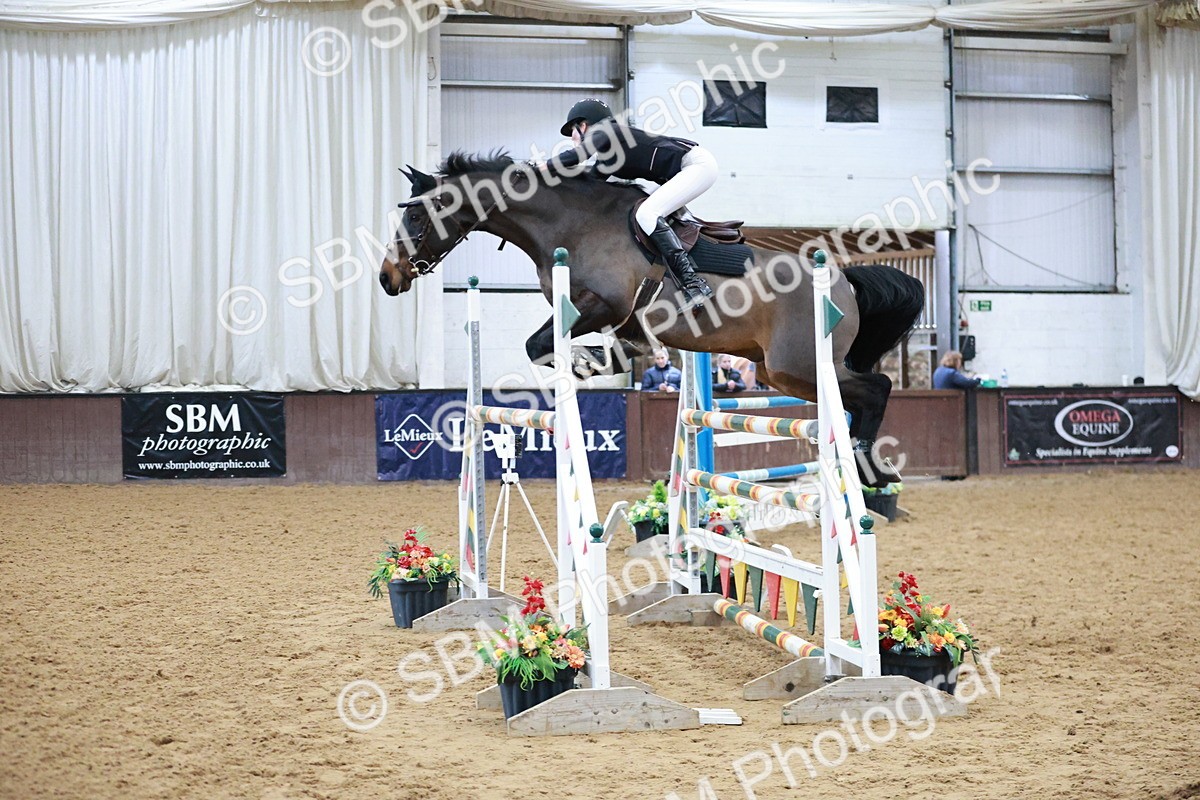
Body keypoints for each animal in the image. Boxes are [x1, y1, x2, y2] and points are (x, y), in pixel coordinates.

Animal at [379, 151, 925, 486]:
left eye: (417, 217)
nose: (388, 277)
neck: (570, 222)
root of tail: (843, 281)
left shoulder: (602, 306)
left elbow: (539, 345)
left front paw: (580, 366)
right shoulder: (608, 319)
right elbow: (594, 348)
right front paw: (598, 362)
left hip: (798, 366)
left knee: (874, 388)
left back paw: (871, 466)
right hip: (776, 371)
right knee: (856, 395)